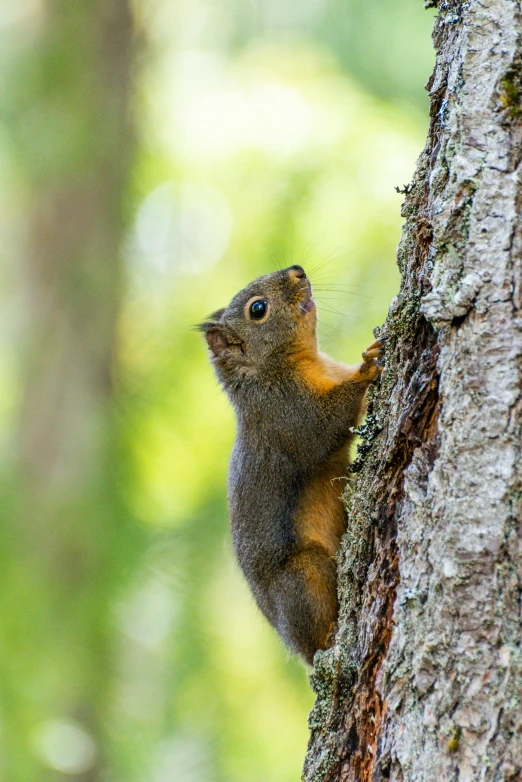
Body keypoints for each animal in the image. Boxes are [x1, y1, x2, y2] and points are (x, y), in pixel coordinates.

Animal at [198, 266, 382, 664]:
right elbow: (326, 426)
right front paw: (368, 368)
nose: (297, 271)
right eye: (258, 309)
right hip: (303, 574)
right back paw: (330, 638)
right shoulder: (287, 414)